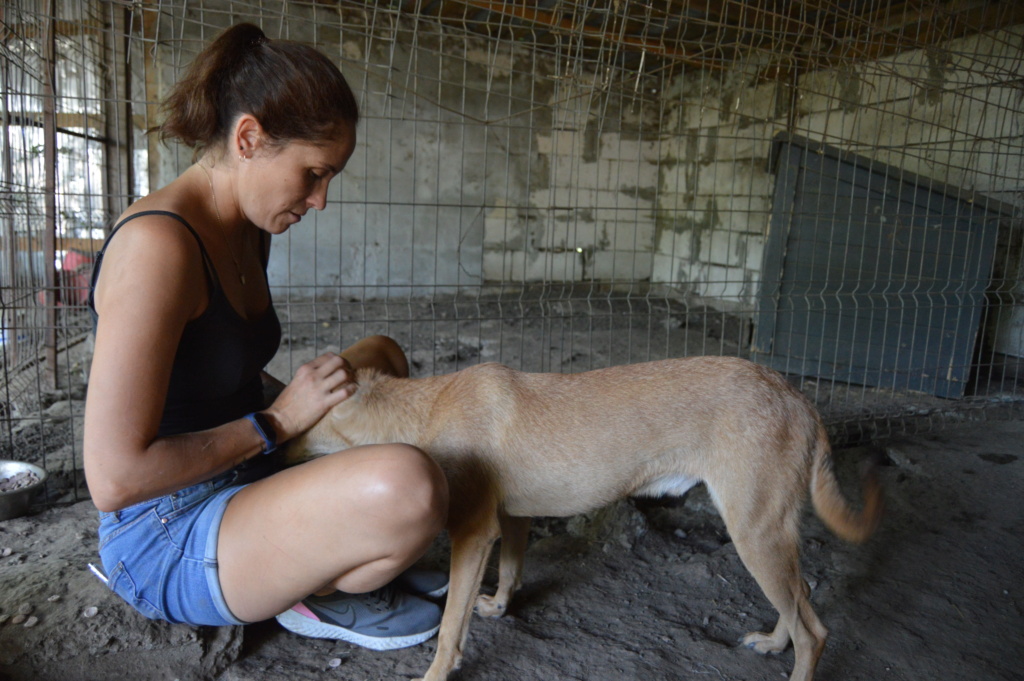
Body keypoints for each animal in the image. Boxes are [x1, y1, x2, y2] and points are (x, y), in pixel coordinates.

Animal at [286, 356, 880, 679]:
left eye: (287, 409)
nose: (266, 434)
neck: (425, 409)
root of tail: (796, 397)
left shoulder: (474, 533)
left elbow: (450, 627)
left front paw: (435, 673)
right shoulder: (512, 518)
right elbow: (512, 570)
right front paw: (499, 606)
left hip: (754, 533)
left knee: (815, 632)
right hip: (769, 532)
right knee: (802, 594)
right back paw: (775, 643)